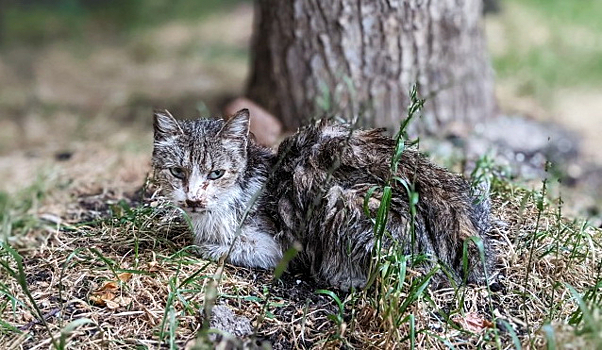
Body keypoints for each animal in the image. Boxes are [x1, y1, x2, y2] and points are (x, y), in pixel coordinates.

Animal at [151, 108, 492, 288]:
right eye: (177, 171)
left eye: (216, 174)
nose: (193, 199)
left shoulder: (277, 246)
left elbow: (220, 247)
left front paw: (202, 244)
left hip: (341, 200)